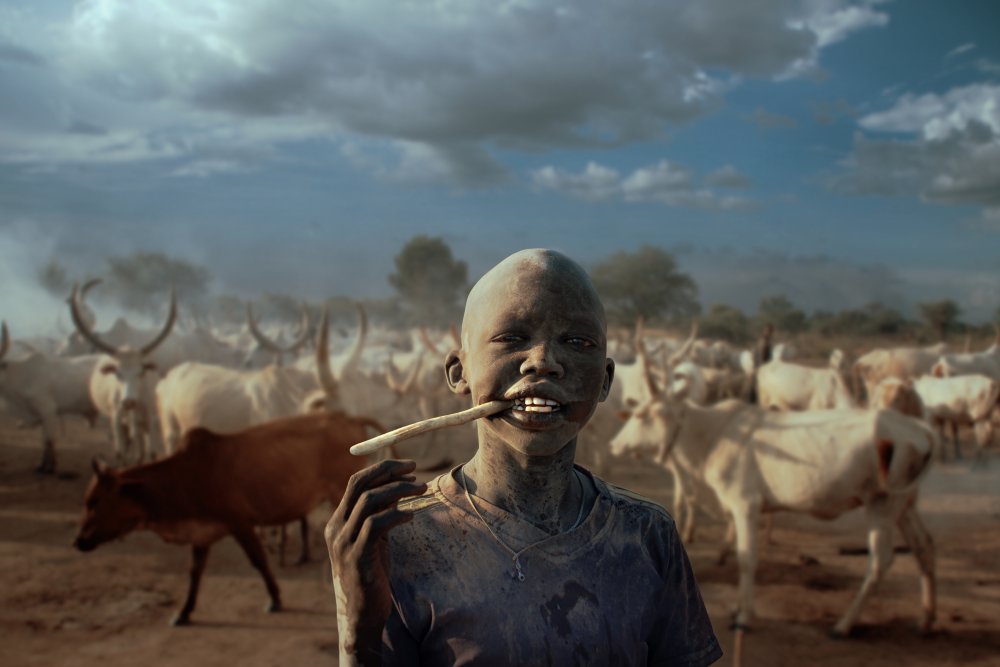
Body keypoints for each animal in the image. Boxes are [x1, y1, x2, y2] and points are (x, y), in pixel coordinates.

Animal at [0, 324, 100, 474]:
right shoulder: (42, 416)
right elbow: (45, 441)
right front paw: (42, 465)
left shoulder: (48, 411)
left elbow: (49, 440)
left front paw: (49, 467)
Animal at [74, 412, 382, 628]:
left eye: (95, 501)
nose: (79, 541)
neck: (184, 476)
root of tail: (348, 417)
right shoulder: (201, 535)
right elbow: (194, 573)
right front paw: (183, 612)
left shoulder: (240, 523)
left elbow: (259, 561)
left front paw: (275, 598)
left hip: (338, 491)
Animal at [608, 380, 936, 636]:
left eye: (643, 415)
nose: (615, 445)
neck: (713, 434)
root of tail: (923, 432)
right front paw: (738, 607)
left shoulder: (745, 505)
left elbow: (746, 558)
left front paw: (744, 617)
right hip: (904, 506)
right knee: (924, 546)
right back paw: (926, 620)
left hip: (882, 506)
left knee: (881, 561)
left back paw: (844, 625)